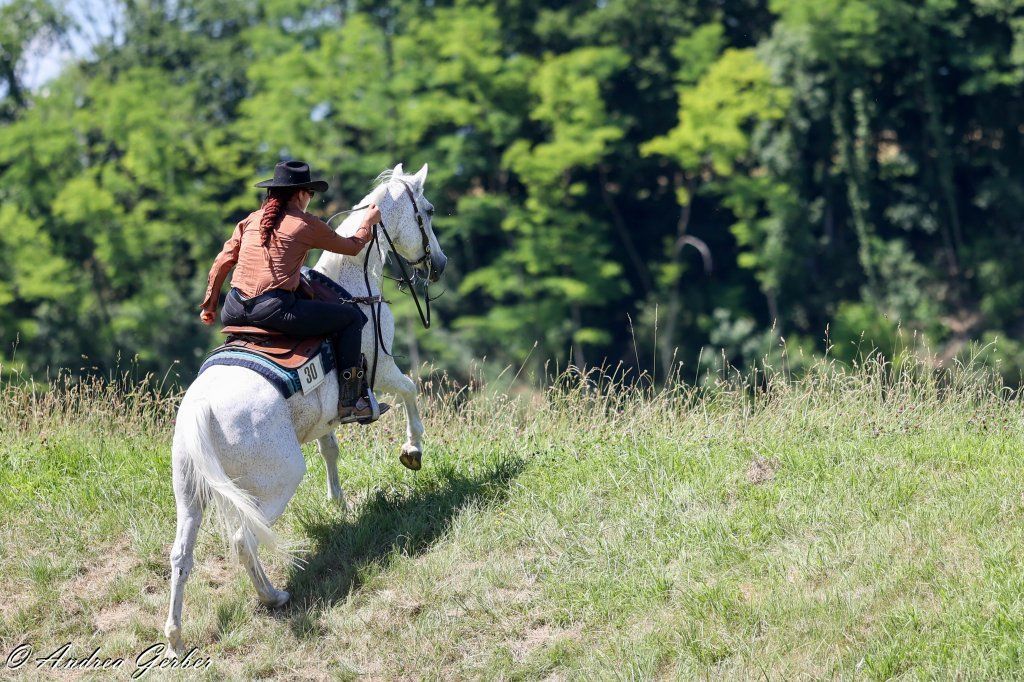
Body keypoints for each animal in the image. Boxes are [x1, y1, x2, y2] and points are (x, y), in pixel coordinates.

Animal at [164, 163, 447, 657]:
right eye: (427, 210)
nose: (441, 263)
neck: (353, 286)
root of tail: (202, 411)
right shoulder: (382, 368)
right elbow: (411, 391)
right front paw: (412, 451)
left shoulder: (325, 414)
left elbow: (330, 447)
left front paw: (339, 503)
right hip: (277, 481)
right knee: (245, 539)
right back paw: (273, 595)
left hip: (190, 493)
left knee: (182, 556)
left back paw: (175, 638)